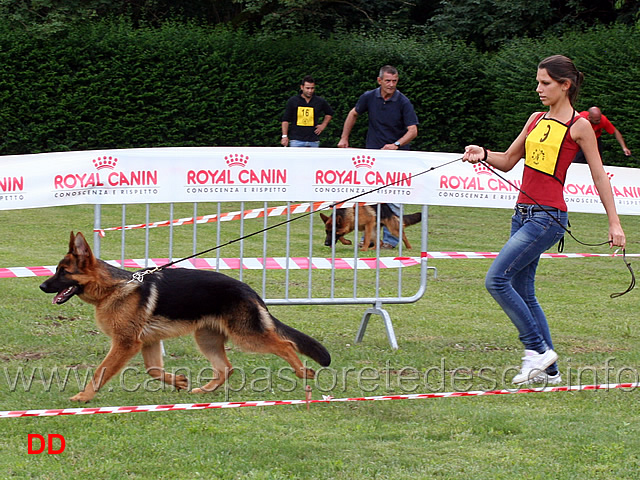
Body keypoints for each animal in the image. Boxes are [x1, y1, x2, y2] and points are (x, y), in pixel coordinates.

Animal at [39, 232, 330, 402]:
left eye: (63, 272)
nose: (42, 286)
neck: (113, 287)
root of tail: (248, 290)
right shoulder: (147, 342)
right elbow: (153, 370)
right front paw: (178, 381)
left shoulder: (126, 343)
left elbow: (101, 371)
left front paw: (83, 397)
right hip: (206, 338)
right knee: (227, 368)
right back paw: (204, 390)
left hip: (246, 336)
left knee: (286, 345)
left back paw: (303, 372)